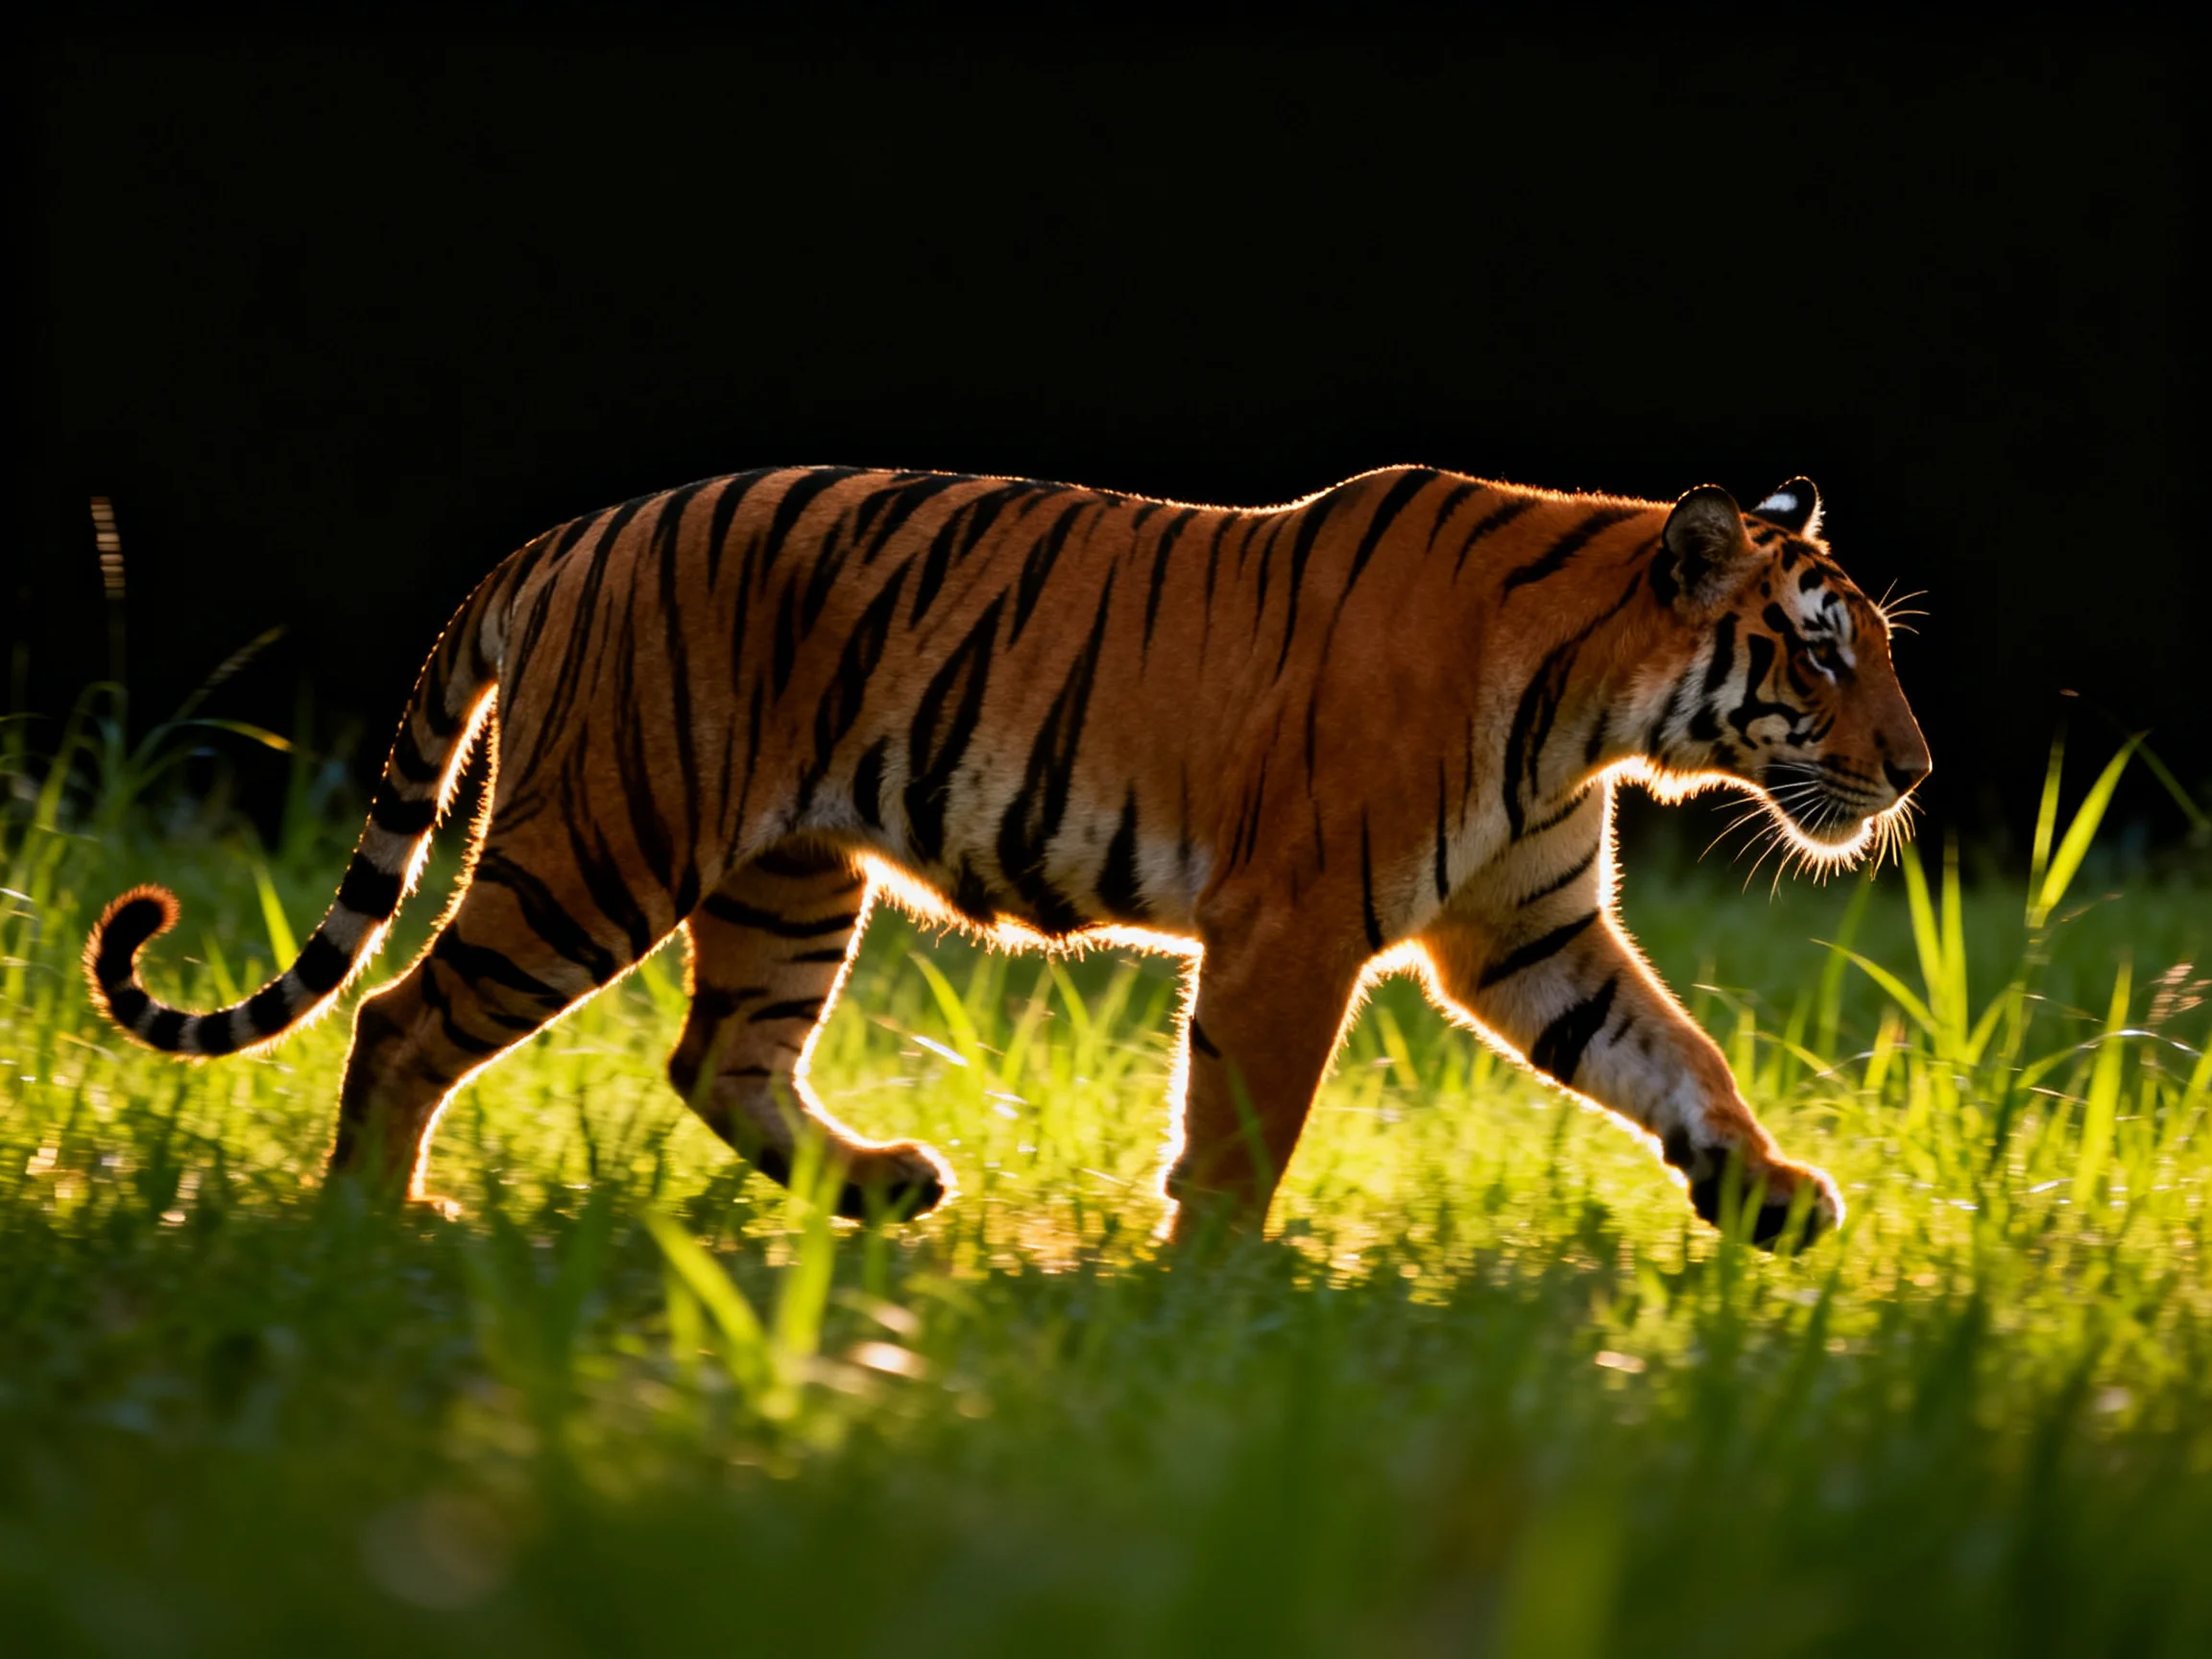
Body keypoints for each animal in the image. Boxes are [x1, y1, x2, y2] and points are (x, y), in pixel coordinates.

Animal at [87, 464, 1927, 1249]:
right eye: (1821, 648)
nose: (1915, 773)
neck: (1596, 702)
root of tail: (559, 536)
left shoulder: (1523, 930)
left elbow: (1673, 1053)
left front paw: (1766, 1196)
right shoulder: (1294, 926)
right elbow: (1244, 1127)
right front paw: (1219, 1295)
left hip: (786, 876)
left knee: (716, 1055)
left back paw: (879, 1188)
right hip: (600, 843)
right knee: (401, 1016)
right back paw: (371, 1232)